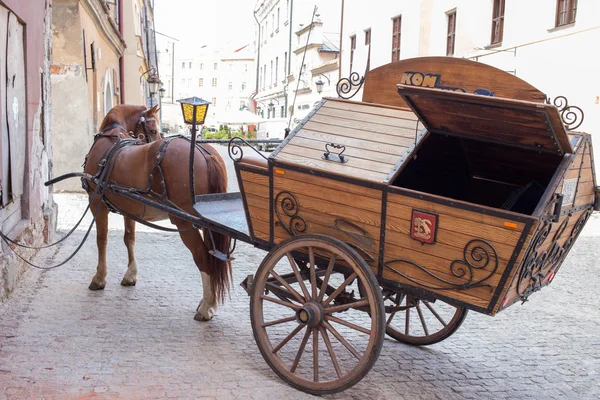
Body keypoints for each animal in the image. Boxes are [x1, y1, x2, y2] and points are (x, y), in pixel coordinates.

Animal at [85, 104, 231, 320]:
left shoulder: (97, 203)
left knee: (203, 257)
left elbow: (101, 240)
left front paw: (100, 277)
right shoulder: (130, 208)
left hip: (184, 222)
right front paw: (131, 274)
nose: (153, 138)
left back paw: (207, 306)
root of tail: (204, 153)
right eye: (153, 130)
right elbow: (129, 238)